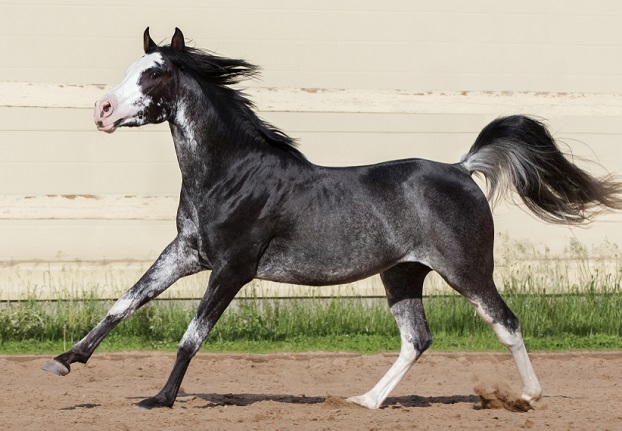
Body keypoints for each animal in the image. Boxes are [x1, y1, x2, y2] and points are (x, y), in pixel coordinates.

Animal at [41, 27, 620, 412]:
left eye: (155, 72)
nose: (102, 111)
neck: (233, 174)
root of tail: (461, 169)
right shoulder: (185, 253)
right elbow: (124, 303)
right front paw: (64, 360)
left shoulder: (232, 268)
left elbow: (192, 334)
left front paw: (160, 398)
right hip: (402, 273)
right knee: (417, 339)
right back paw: (365, 401)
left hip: (466, 270)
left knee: (506, 322)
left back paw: (528, 396)